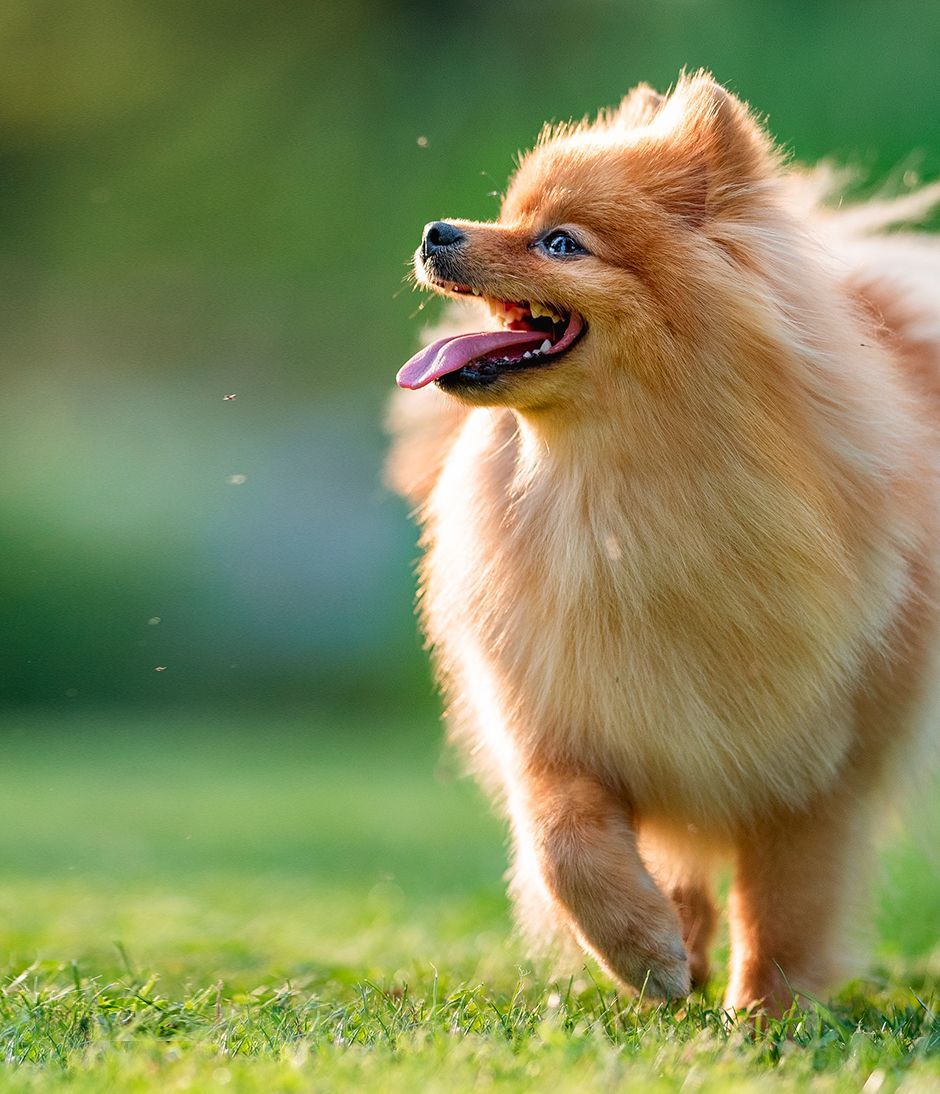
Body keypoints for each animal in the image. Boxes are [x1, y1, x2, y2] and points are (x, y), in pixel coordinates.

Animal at [385, 74, 940, 1015]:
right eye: (509, 213)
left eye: (560, 242)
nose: (436, 231)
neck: (614, 499)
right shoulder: (560, 716)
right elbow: (565, 841)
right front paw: (643, 950)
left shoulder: (815, 763)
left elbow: (786, 902)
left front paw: (767, 1016)